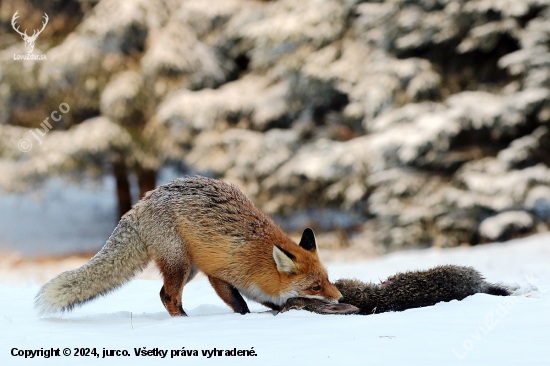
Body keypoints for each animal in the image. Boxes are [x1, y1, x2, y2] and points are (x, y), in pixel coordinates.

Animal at [34, 176, 342, 316]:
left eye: (327, 280)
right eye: (315, 287)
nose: (340, 298)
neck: (258, 259)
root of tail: (142, 202)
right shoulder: (218, 273)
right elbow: (240, 304)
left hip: (188, 268)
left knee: (163, 294)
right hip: (180, 264)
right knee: (169, 296)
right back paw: (183, 322)